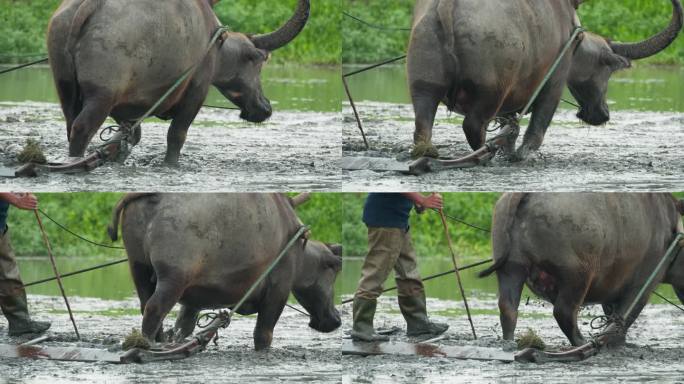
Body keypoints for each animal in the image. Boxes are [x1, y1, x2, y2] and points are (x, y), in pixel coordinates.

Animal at [49, 0, 312, 163]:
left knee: (71, 126)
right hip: (101, 96)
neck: (214, 42)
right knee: (82, 129)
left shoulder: (127, 107)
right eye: (258, 60)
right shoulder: (196, 90)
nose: (265, 108)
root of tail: (87, 5)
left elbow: (130, 136)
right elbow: (176, 136)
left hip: (66, 89)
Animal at [108, 194, 342, 350]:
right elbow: (263, 334)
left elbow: (184, 326)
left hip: (139, 268)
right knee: (154, 309)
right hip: (173, 278)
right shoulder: (278, 291)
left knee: (145, 306)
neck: (299, 246)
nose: (337, 318)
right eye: (332, 271)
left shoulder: (194, 301)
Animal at [408, 0, 680, 159]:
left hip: (423, 82)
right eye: (607, 70)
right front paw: (522, 155)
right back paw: (484, 155)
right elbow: (537, 127)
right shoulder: (555, 81)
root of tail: (447, 7)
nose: (603, 113)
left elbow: (511, 125)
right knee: (474, 125)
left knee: (423, 122)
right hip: (491, 90)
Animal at [480, 194, 684, 346]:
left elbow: (611, 315)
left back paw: (509, 341)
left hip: (511, 268)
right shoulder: (642, 284)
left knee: (508, 308)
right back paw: (581, 342)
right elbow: (625, 316)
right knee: (564, 312)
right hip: (577, 275)